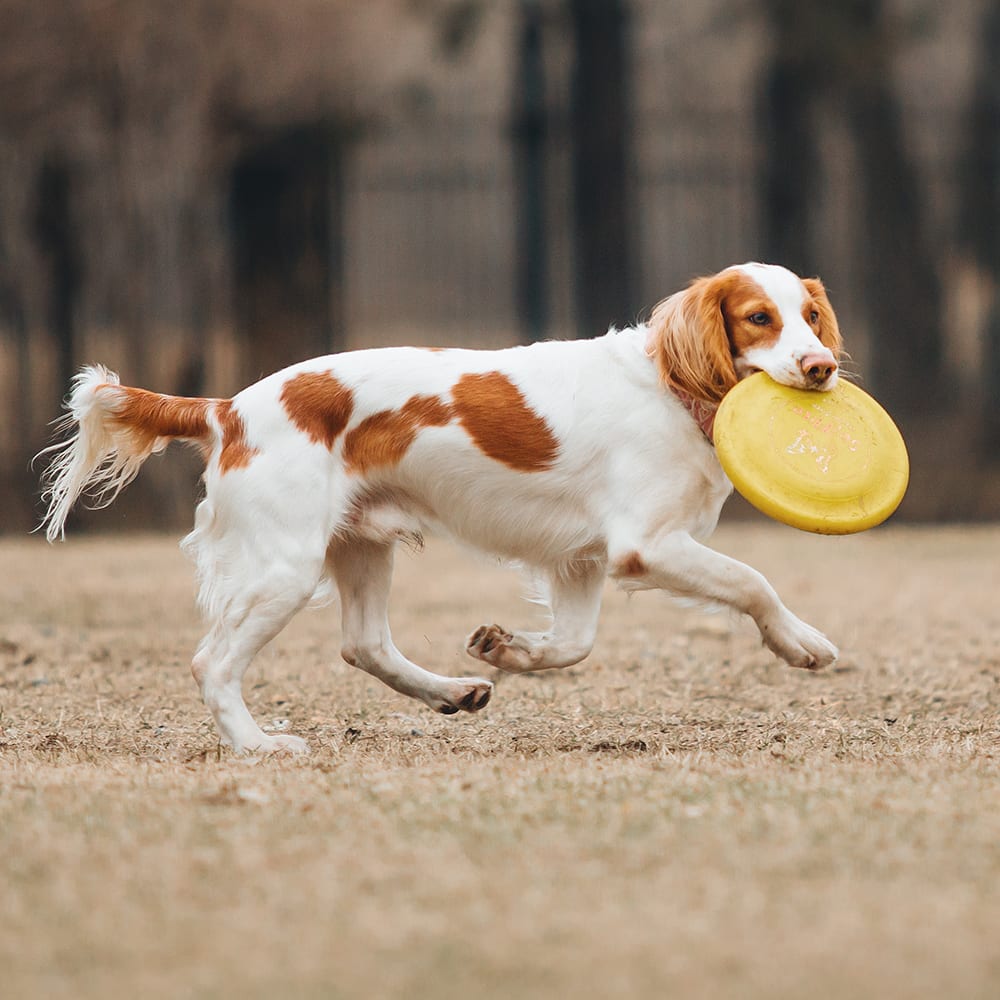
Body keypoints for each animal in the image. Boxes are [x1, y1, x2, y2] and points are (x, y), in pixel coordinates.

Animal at [37, 262, 844, 752]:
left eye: (810, 314)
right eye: (758, 317)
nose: (821, 366)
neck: (674, 389)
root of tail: (228, 408)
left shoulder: (580, 559)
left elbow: (573, 644)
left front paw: (507, 649)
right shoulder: (645, 545)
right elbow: (753, 582)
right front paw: (802, 643)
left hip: (361, 546)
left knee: (363, 644)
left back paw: (453, 691)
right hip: (285, 567)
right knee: (213, 661)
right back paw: (259, 744)